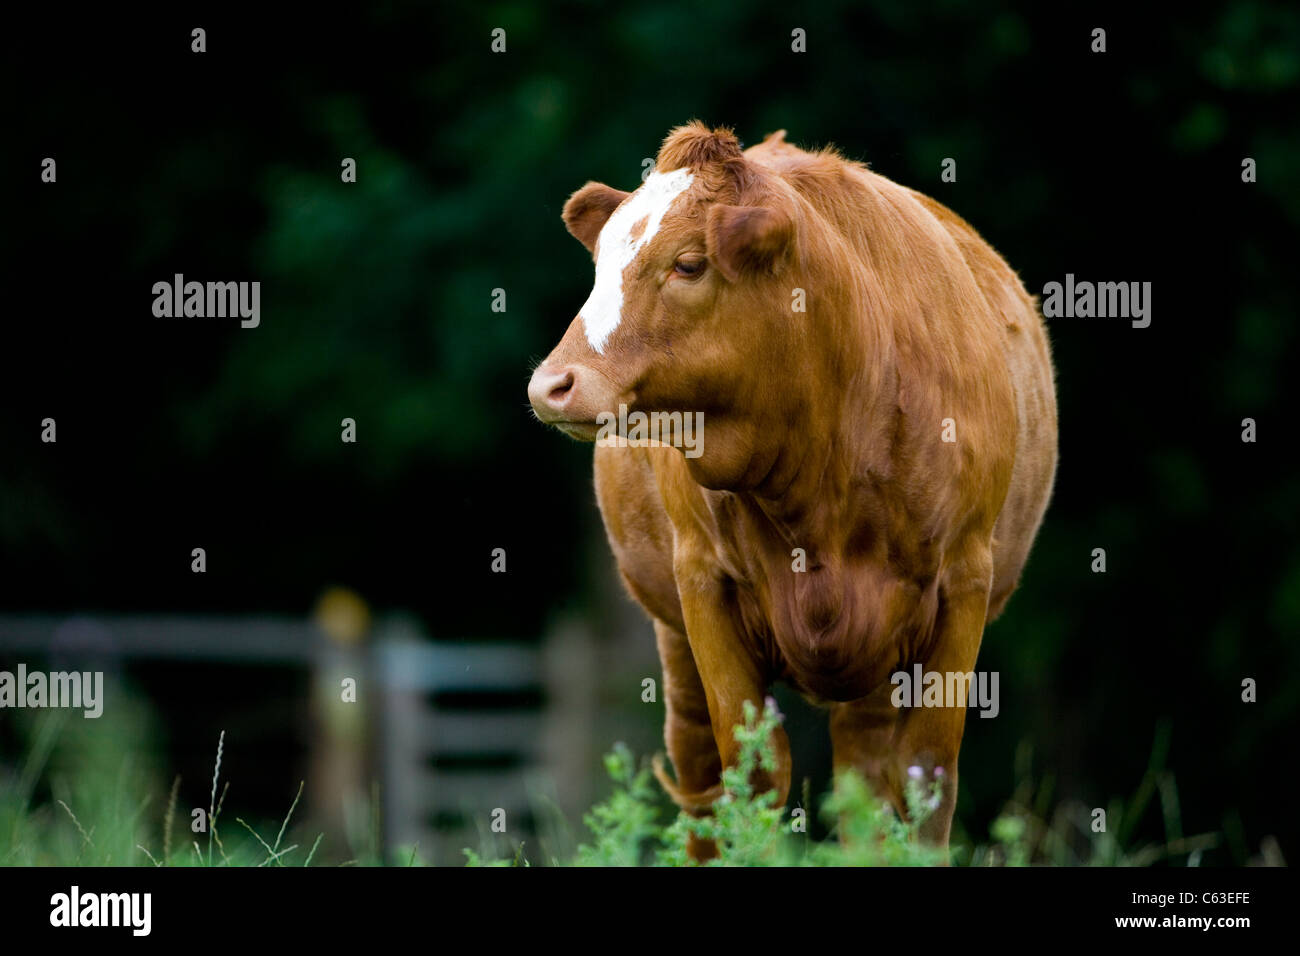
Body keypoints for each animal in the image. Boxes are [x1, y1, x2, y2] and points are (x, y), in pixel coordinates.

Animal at [527, 119, 1055, 858]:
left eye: (688, 263)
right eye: (600, 266)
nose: (552, 384)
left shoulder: (964, 581)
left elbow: (926, 781)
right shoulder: (704, 584)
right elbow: (750, 773)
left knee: (868, 779)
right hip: (674, 637)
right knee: (703, 777)